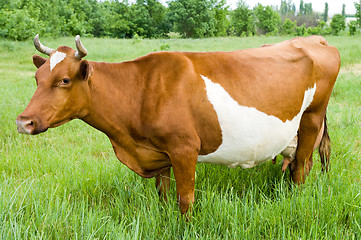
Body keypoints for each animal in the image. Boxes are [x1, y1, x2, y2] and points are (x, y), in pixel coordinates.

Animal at [16, 35, 338, 214]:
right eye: (37, 78)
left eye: (64, 80)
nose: (23, 122)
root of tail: (314, 40)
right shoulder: (160, 153)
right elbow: (163, 194)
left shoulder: (184, 149)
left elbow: (185, 200)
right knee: (301, 163)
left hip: (312, 117)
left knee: (300, 169)